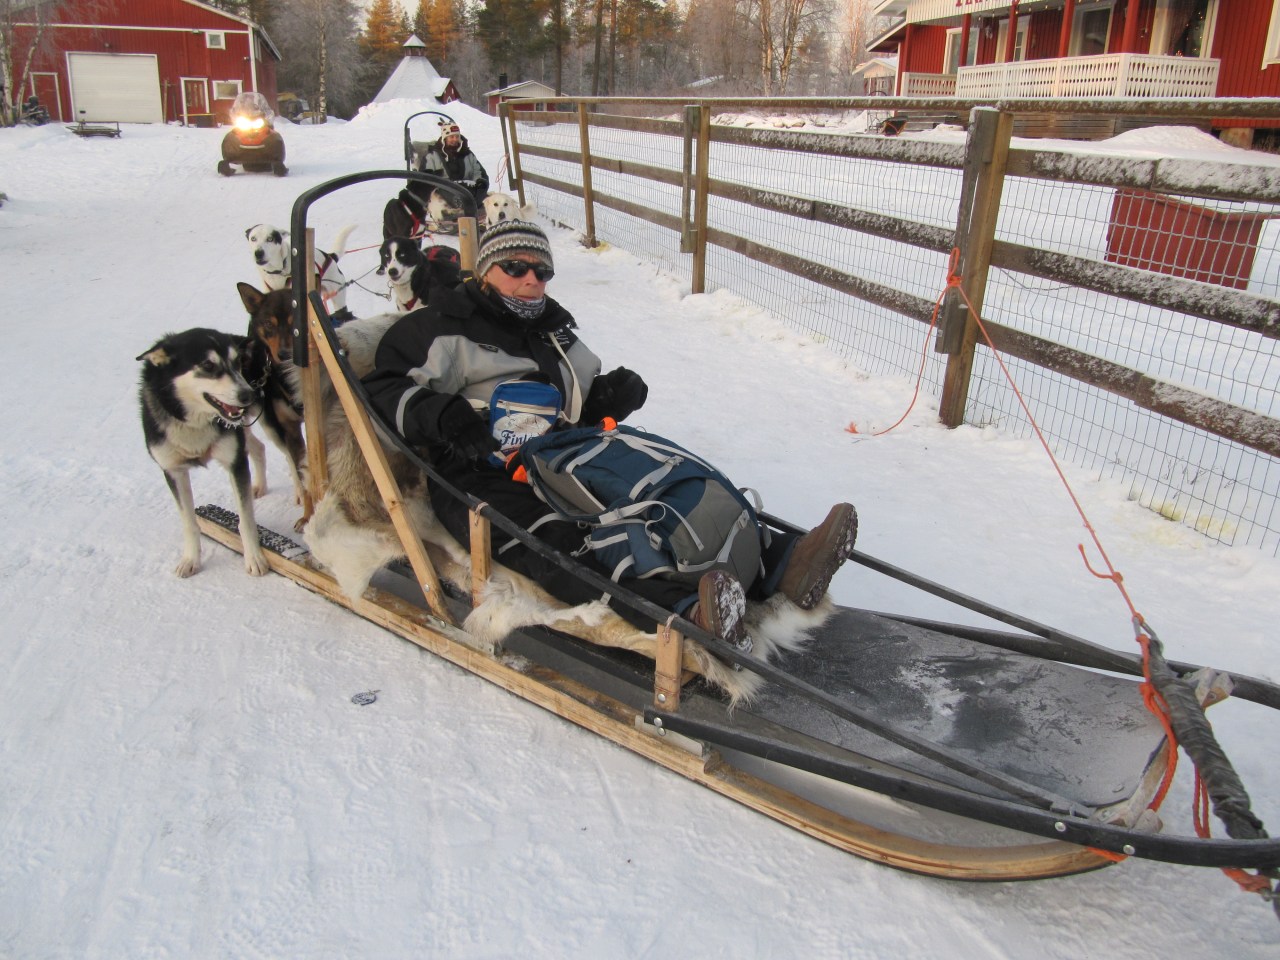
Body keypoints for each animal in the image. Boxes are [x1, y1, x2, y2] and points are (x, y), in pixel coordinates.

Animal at [137, 328, 271, 578]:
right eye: (208, 365)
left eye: (237, 361)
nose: (248, 395)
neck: (193, 423)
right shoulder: (174, 471)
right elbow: (189, 522)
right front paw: (191, 560)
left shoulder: (235, 461)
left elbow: (246, 520)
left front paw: (255, 559)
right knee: (258, 447)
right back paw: (259, 485)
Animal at [238, 282, 313, 530]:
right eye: (269, 324)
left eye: (295, 324)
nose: (284, 353)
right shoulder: (289, 429)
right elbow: (302, 473)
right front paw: (308, 517)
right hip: (272, 426)